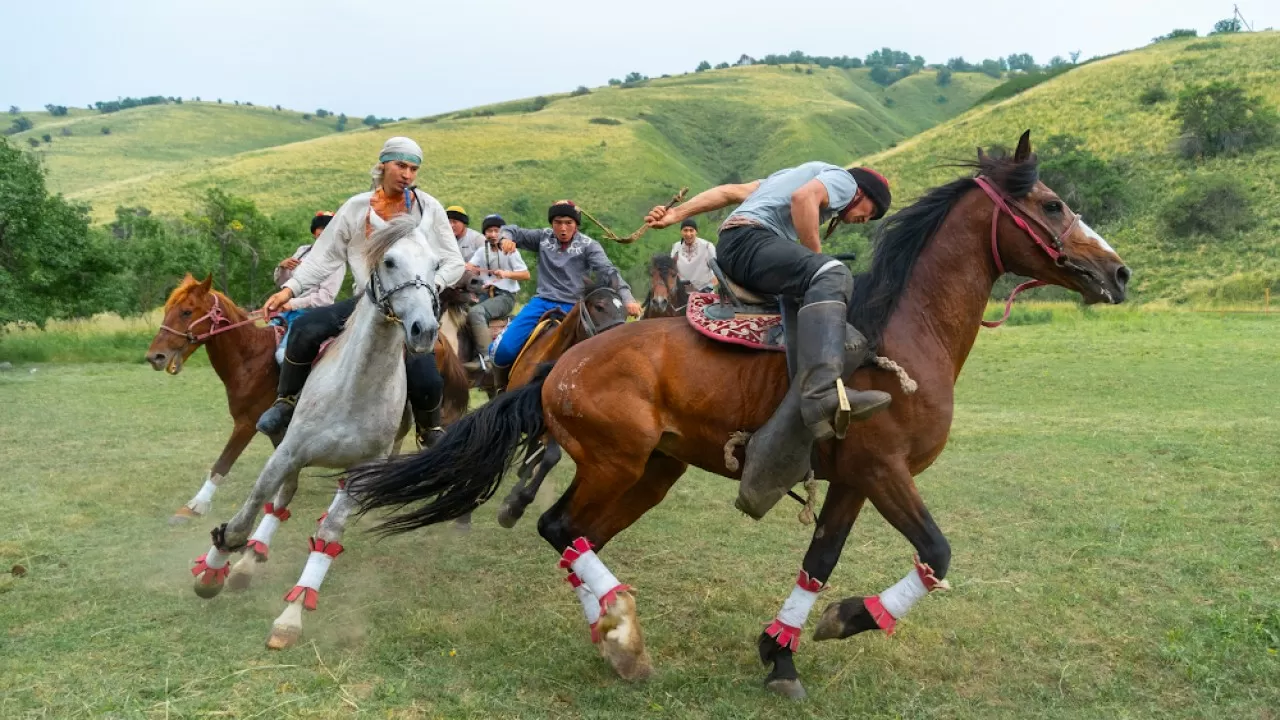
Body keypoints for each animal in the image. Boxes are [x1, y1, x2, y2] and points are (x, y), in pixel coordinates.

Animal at [146, 274, 471, 520]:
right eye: (168, 309)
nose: (155, 357)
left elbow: (223, 462)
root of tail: (440, 338)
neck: (252, 359)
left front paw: (196, 505)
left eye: (187, 311)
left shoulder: (247, 423)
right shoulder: (280, 428)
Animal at [186, 210, 448, 648]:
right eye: (389, 261)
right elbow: (249, 511)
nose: (423, 330)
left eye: (436, 266)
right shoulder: (288, 451)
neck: (354, 389)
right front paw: (213, 567)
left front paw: (291, 617)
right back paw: (243, 564)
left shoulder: (360, 473)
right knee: (279, 499)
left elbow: (328, 535)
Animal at [348, 130, 1131, 696]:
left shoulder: (854, 479)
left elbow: (819, 563)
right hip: (615, 462)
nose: (1118, 271)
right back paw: (623, 635)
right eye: (1053, 205)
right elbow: (936, 553)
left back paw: (611, 634)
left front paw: (781, 652)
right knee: (560, 527)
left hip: (652, 471)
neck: (900, 335)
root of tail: (561, 367)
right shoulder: (885, 470)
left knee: (575, 536)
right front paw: (850, 618)